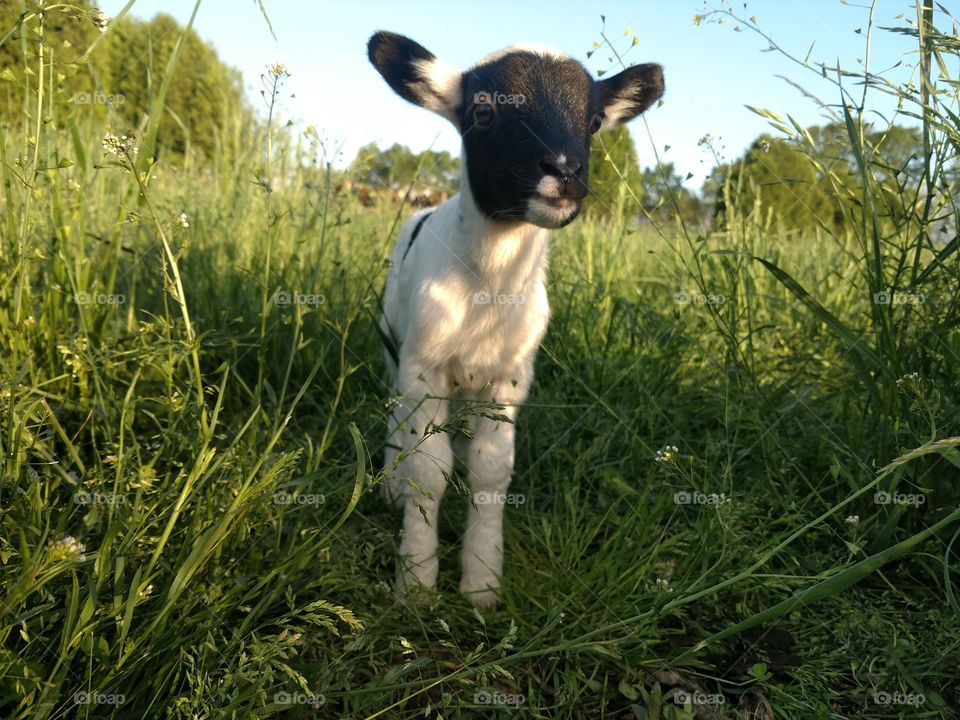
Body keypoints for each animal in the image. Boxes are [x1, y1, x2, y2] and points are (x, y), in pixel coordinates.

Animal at [368, 31, 664, 608]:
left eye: (595, 121)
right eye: (482, 112)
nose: (566, 173)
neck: (488, 288)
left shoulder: (510, 377)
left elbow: (490, 469)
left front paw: (482, 581)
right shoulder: (423, 367)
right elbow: (428, 471)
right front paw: (416, 582)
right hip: (395, 342)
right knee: (396, 417)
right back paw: (391, 484)